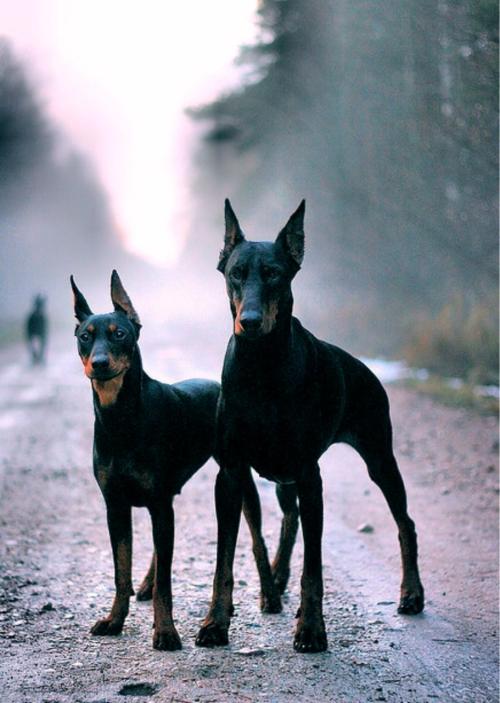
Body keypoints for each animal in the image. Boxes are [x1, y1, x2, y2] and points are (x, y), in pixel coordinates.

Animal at [197, 199, 424, 656]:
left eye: (274, 274)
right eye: (236, 273)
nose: (250, 321)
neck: (261, 367)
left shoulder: (308, 474)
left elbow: (314, 568)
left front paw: (312, 629)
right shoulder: (230, 473)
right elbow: (224, 560)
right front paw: (215, 622)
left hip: (378, 455)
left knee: (404, 523)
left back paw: (411, 594)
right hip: (280, 475)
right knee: (290, 517)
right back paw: (277, 579)